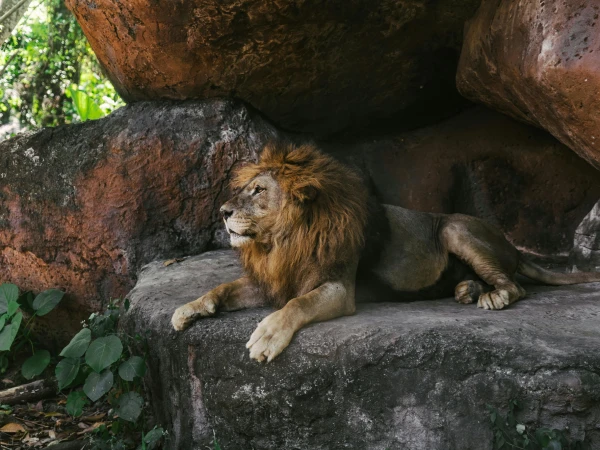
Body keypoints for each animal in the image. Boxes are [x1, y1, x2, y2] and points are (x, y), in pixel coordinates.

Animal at [171, 143, 600, 362]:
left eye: (258, 191)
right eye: (245, 189)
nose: (223, 211)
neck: (282, 241)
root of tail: (511, 244)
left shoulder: (337, 288)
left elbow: (297, 305)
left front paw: (266, 337)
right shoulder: (272, 281)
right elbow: (222, 288)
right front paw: (188, 309)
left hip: (455, 227)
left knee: (516, 286)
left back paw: (491, 296)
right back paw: (467, 290)